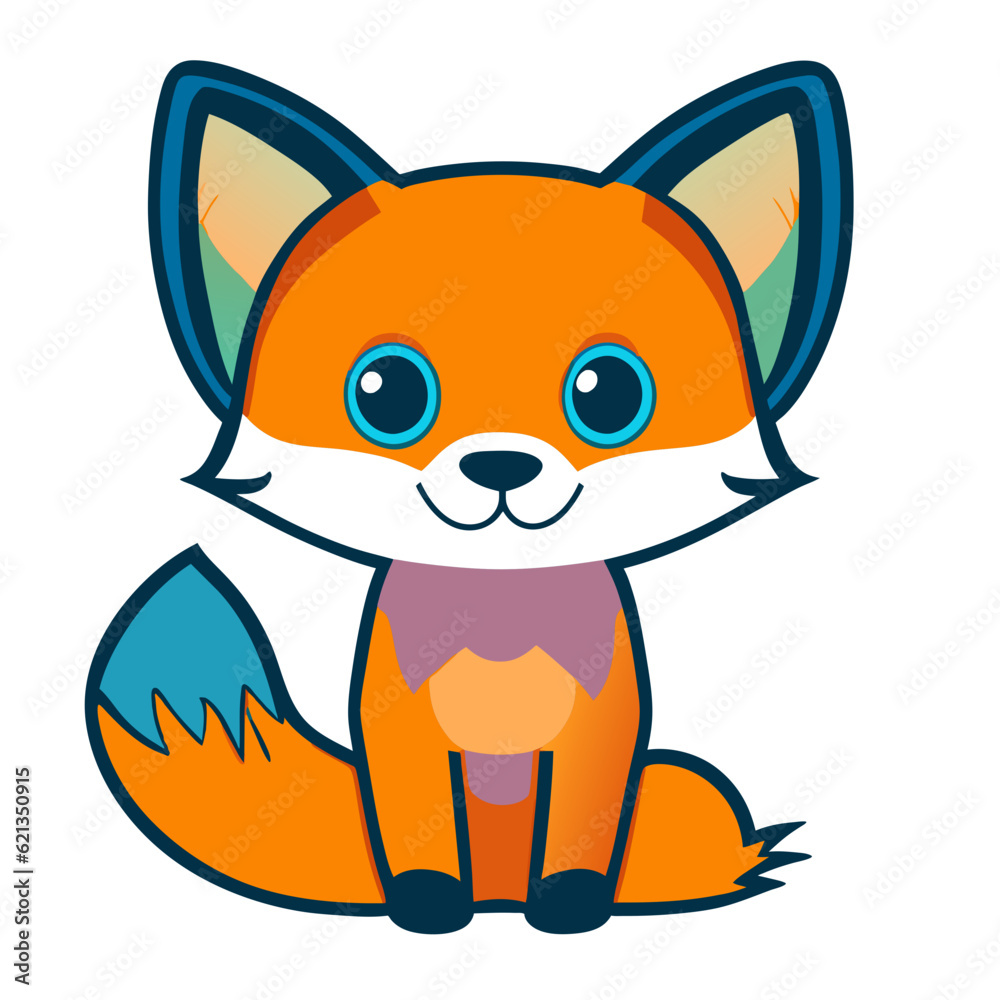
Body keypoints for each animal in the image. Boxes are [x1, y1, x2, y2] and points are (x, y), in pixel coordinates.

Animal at [85, 60, 852, 934]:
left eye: (610, 393)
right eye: (386, 393)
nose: (500, 467)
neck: (499, 611)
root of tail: (499, 896)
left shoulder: (603, 737)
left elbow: (580, 833)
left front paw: (570, 903)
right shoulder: (398, 738)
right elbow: (418, 831)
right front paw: (426, 901)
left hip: (681, 787)